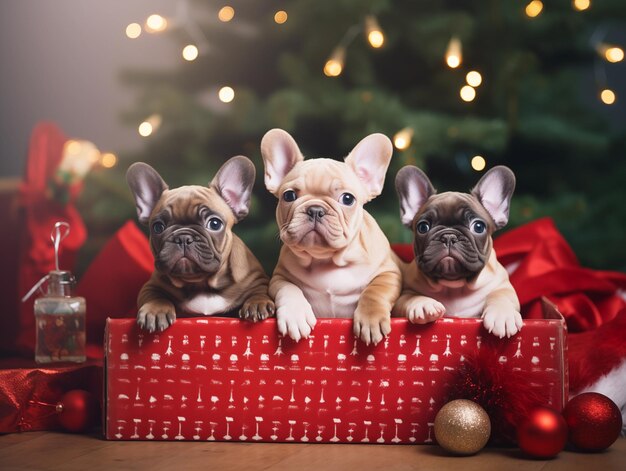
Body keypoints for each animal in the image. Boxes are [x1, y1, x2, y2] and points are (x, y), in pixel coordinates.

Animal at [125, 156, 272, 332]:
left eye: (214, 224)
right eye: (158, 227)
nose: (183, 237)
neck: (201, 284)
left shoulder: (257, 280)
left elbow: (259, 292)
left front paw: (257, 304)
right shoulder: (151, 285)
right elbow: (155, 296)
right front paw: (154, 310)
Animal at [258, 129, 400, 346]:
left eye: (348, 199)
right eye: (289, 196)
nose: (315, 209)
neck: (326, 259)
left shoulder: (389, 273)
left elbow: (375, 291)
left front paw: (371, 319)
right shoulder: (279, 277)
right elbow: (288, 288)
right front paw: (295, 316)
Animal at [390, 166, 520, 340]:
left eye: (478, 226)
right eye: (423, 227)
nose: (448, 236)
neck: (454, 286)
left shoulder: (503, 286)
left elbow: (501, 296)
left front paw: (503, 315)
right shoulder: (403, 295)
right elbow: (409, 298)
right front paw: (423, 304)